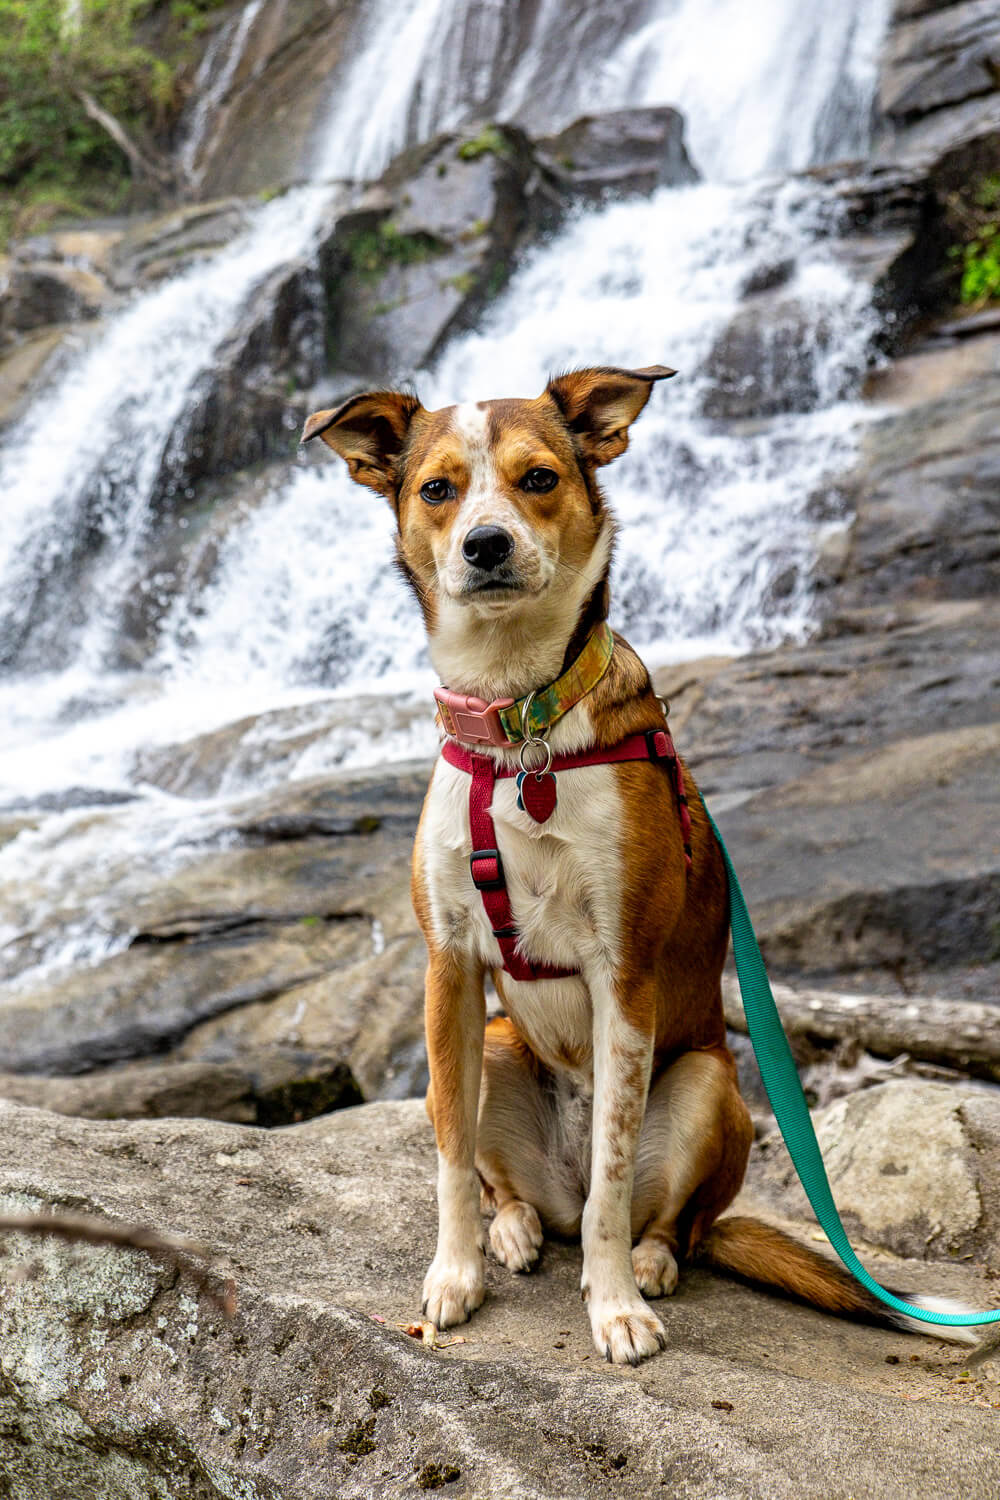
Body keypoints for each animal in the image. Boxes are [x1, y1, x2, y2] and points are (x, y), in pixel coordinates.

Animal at [305, 363, 977, 1362]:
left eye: (538, 478)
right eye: (437, 490)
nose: (487, 544)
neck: (521, 726)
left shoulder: (623, 972)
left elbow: (616, 1180)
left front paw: (616, 1305)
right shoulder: (449, 968)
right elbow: (451, 1158)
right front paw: (454, 1274)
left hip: (708, 1085)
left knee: (667, 1219)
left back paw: (650, 1261)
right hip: (496, 1042)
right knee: (519, 1189)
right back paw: (515, 1229)